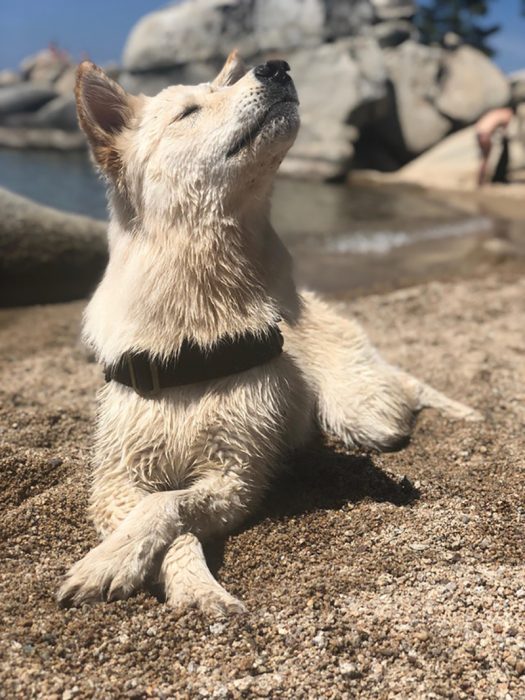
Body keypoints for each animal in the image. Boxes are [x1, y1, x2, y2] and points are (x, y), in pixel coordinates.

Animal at [57, 52, 478, 616]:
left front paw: (122, 566)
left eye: (225, 87)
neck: (197, 317)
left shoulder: (236, 475)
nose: (276, 66)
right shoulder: (117, 479)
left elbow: (166, 506)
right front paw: (180, 583)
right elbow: (166, 524)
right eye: (188, 111)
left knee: (401, 390)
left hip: (361, 416)